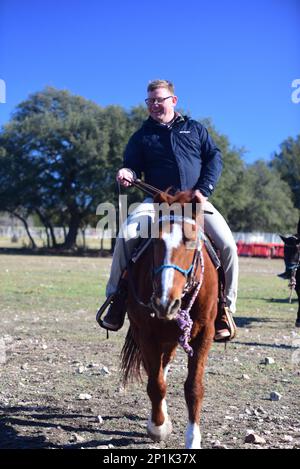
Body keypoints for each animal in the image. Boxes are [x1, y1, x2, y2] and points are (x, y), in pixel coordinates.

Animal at [120, 189, 218, 446]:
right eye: (155, 241)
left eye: (191, 241)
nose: (165, 302)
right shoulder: (145, 333)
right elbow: (156, 384)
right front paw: (157, 427)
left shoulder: (205, 334)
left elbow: (193, 387)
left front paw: (193, 438)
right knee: (156, 371)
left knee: (164, 365)